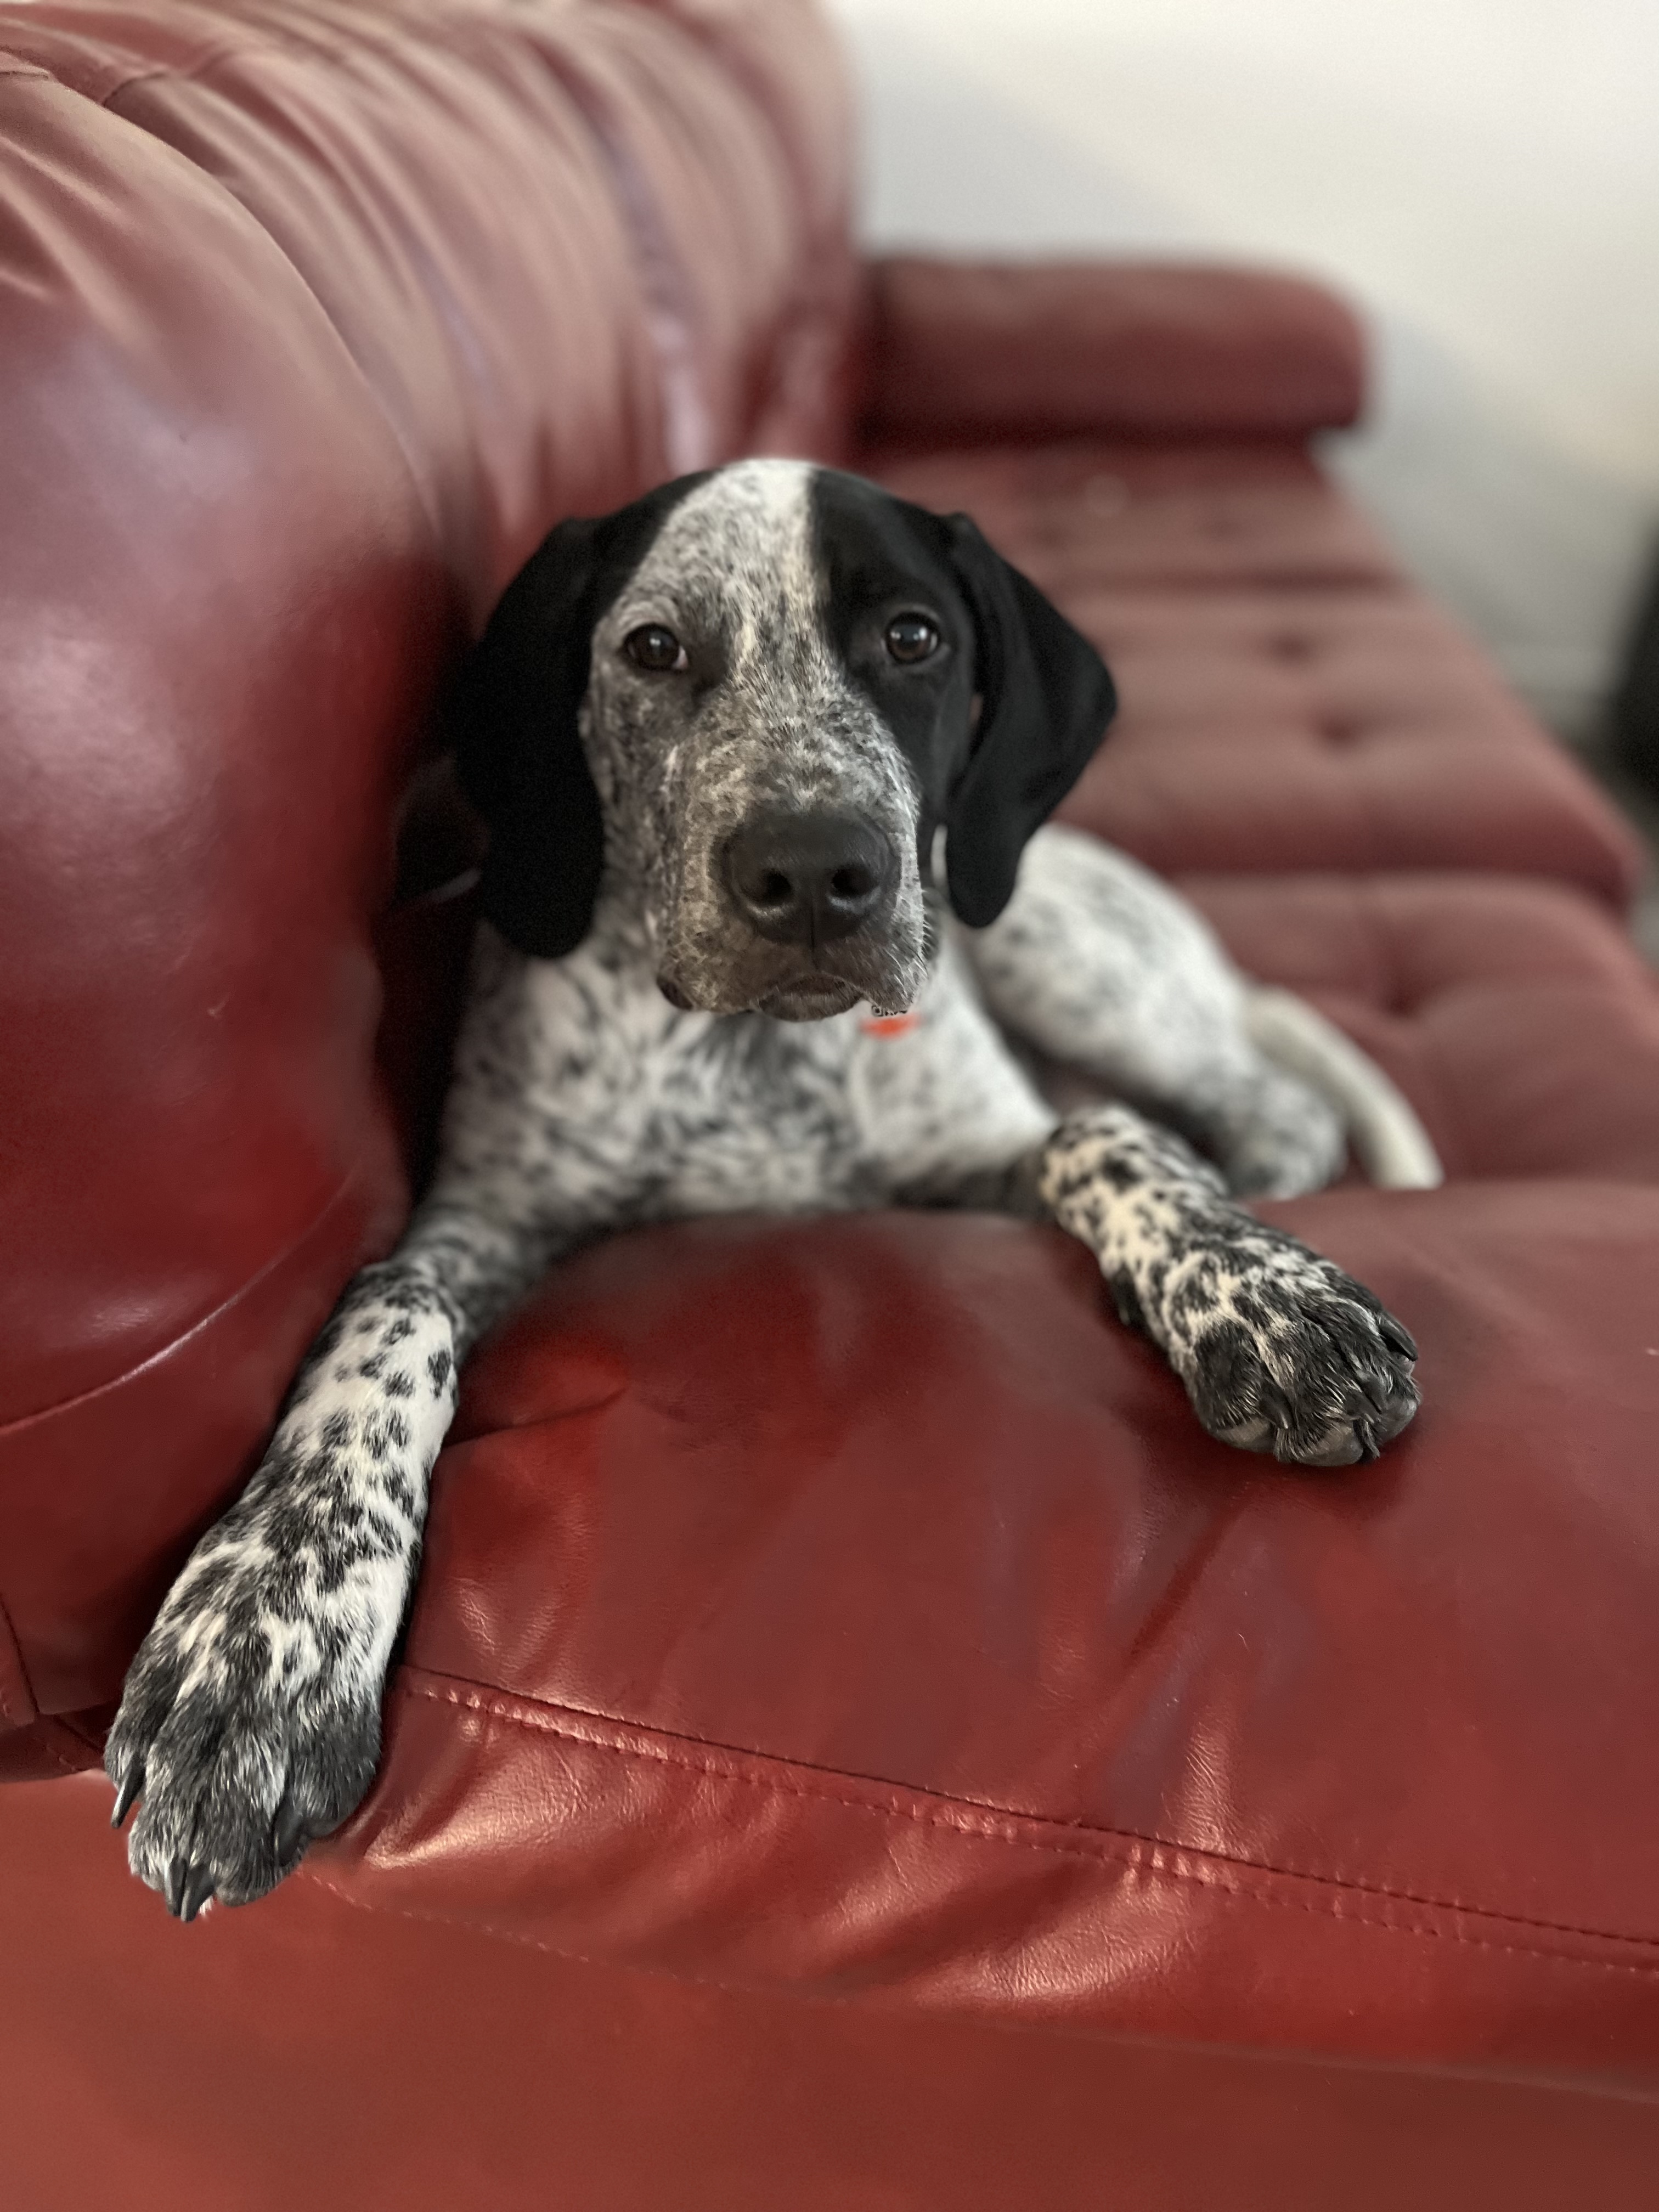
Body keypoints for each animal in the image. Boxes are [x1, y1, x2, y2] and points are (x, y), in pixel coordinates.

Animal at [106, 458, 1426, 1919]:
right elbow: (390, 1309)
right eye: (654, 649)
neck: (752, 1057)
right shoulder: (483, 1219)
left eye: (913, 637)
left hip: (1047, 941)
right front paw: (261, 1639)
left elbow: (1107, 1139)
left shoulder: (996, 1149)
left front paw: (1264, 1295)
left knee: (1267, 1101)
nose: (811, 875)